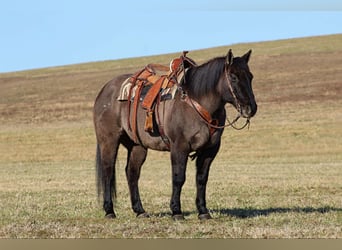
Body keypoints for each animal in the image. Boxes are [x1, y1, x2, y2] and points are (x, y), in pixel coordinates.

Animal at [93, 49, 256, 221]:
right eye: (233, 77)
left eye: (250, 76)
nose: (250, 108)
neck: (197, 102)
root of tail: (105, 90)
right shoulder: (179, 147)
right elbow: (178, 178)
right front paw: (176, 211)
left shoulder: (210, 150)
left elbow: (201, 179)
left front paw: (203, 211)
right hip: (109, 142)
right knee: (108, 172)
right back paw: (109, 211)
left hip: (137, 146)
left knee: (132, 173)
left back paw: (140, 210)